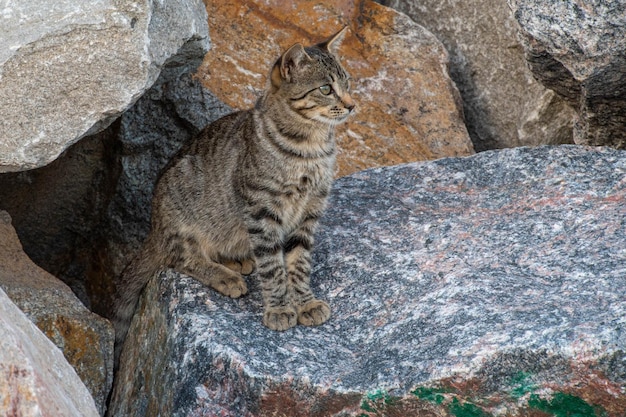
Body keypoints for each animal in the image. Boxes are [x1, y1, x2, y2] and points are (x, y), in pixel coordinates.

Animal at [112, 27, 354, 362]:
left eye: (347, 83)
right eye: (326, 89)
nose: (351, 105)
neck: (311, 148)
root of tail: (154, 230)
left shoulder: (310, 210)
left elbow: (299, 261)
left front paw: (305, 301)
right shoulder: (262, 209)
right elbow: (273, 266)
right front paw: (280, 308)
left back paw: (238, 261)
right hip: (181, 209)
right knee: (179, 258)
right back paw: (226, 277)